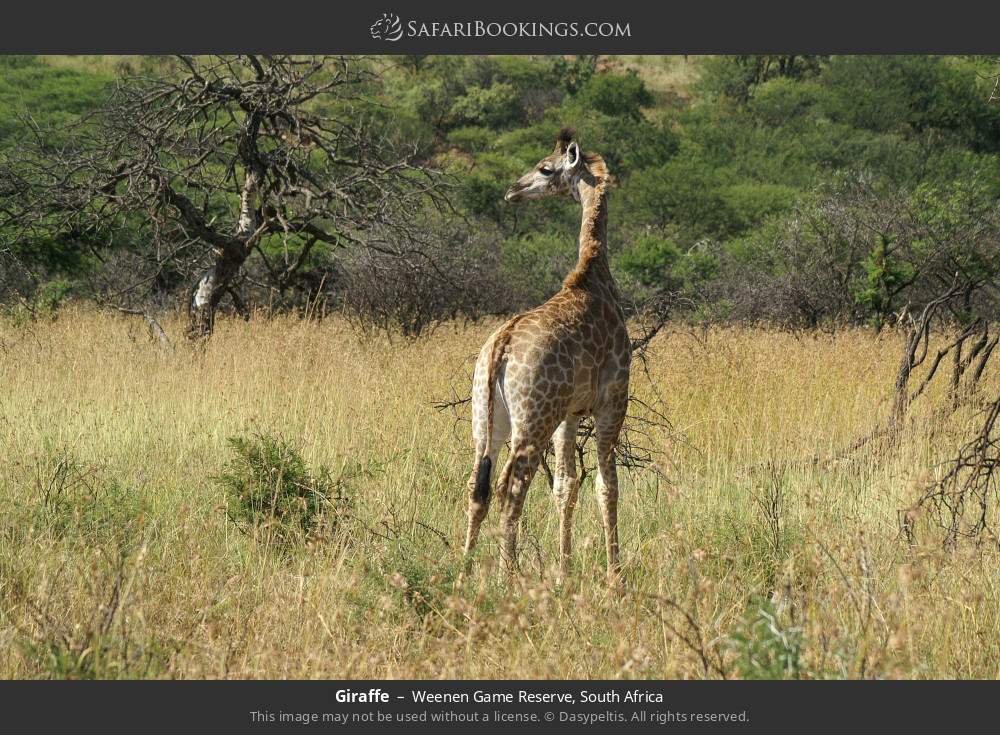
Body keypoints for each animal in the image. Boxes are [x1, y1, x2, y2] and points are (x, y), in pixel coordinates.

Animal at [462, 128, 631, 587]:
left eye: (544, 169)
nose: (513, 191)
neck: (593, 276)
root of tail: (500, 346)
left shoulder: (569, 414)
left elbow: (566, 486)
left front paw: (564, 571)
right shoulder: (612, 403)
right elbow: (606, 486)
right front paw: (615, 578)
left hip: (488, 420)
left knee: (478, 488)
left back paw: (462, 575)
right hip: (532, 421)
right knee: (510, 491)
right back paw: (508, 578)